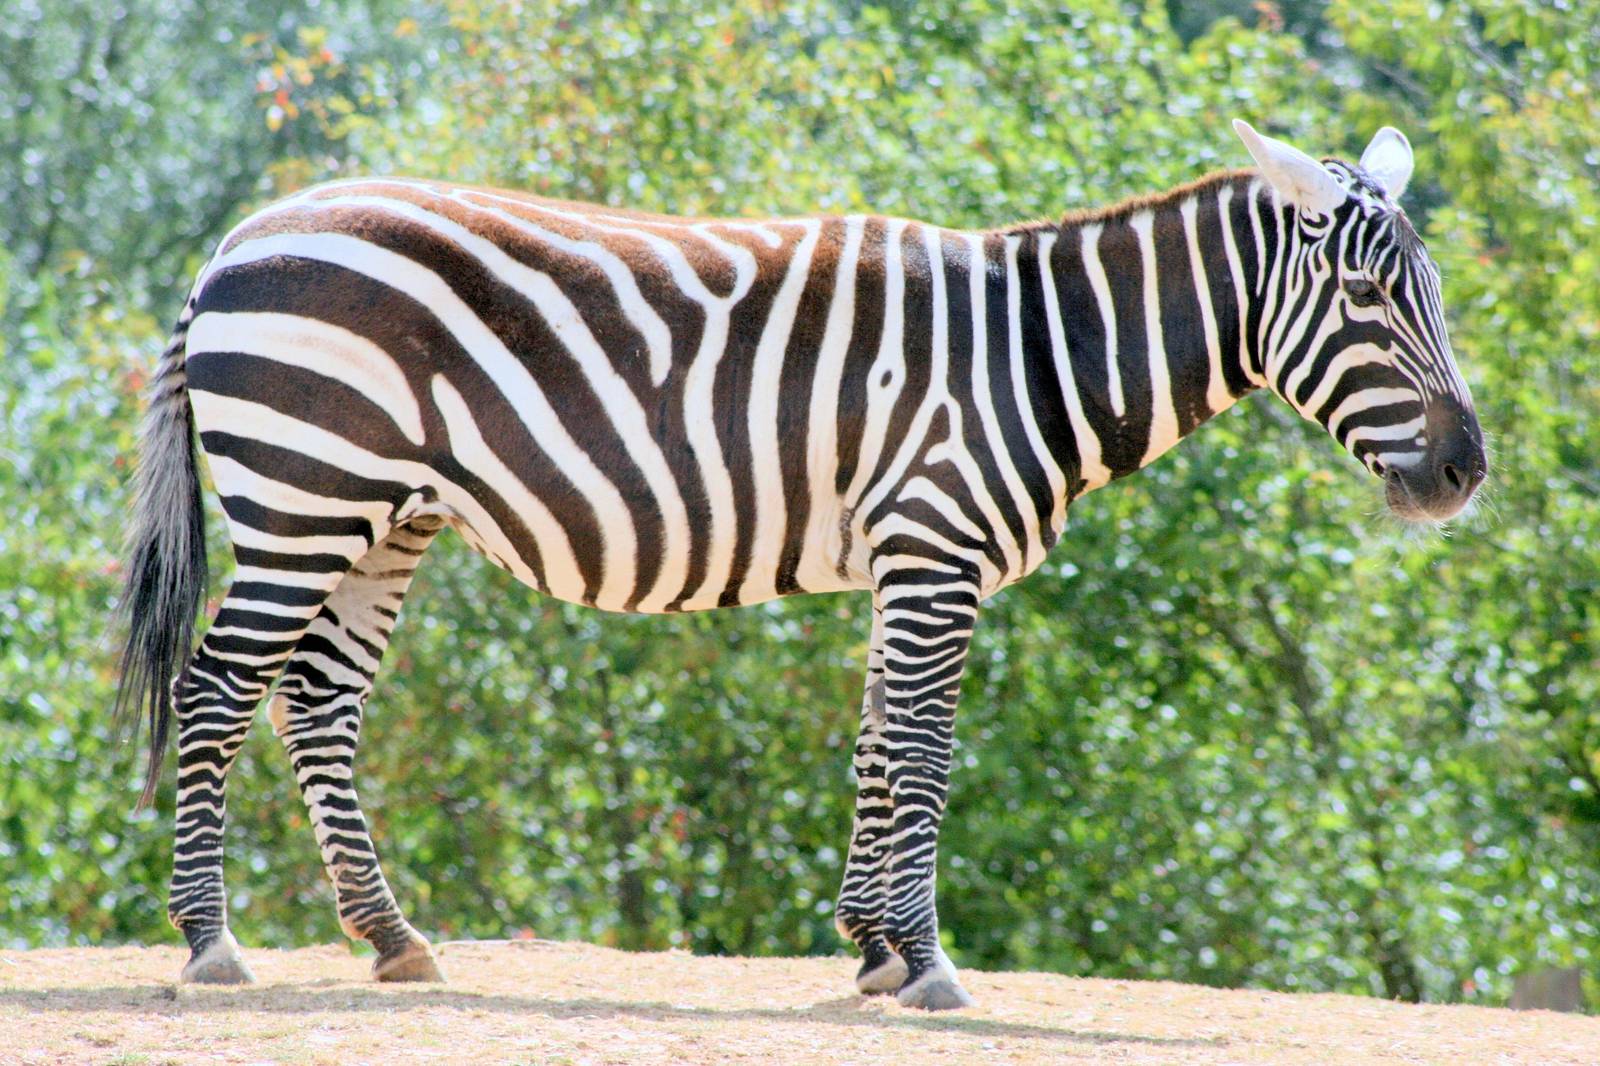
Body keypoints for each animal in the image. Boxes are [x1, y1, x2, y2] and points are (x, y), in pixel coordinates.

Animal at [115, 119, 1485, 1010]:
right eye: (1369, 298)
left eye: (1429, 291)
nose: (1464, 472)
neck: (1039, 349)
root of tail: (231, 241)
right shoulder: (934, 547)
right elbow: (922, 752)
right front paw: (927, 963)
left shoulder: (908, 557)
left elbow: (877, 744)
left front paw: (870, 946)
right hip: (305, 493)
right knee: (217, 688)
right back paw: (211, 943)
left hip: (381, 515)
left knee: (319, 704)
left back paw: (391, 937)